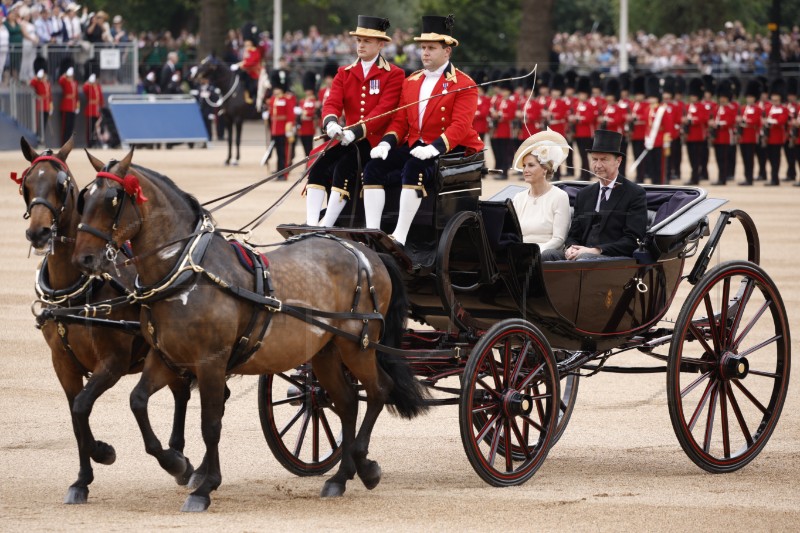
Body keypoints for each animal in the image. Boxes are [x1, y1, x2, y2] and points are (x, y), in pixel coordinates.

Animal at [14, 137, 196, 502]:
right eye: (26, 184)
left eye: (62, 186)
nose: (38, 232)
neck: (76, 290)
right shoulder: (62, 364)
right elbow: (75, 414)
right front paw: (82, 479)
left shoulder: (112, 362)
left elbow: (83, 406)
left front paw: (102, 451)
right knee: (181, 393)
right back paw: (178, 454)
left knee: (186, 392)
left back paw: (179, 459)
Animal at [72, 149, 428, 512]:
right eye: (84, 198)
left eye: (113, 200)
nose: (83, 259)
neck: (186, 272)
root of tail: (365, 251)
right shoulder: (165, 358)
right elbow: (138, 401)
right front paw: (175, 463)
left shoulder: (211, 362)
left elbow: (210, 424)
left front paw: (204, 486)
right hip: (325, 351)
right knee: (346, 402)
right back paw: (340, 477)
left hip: (358, 346)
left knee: (378, 391)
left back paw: (364, 465)